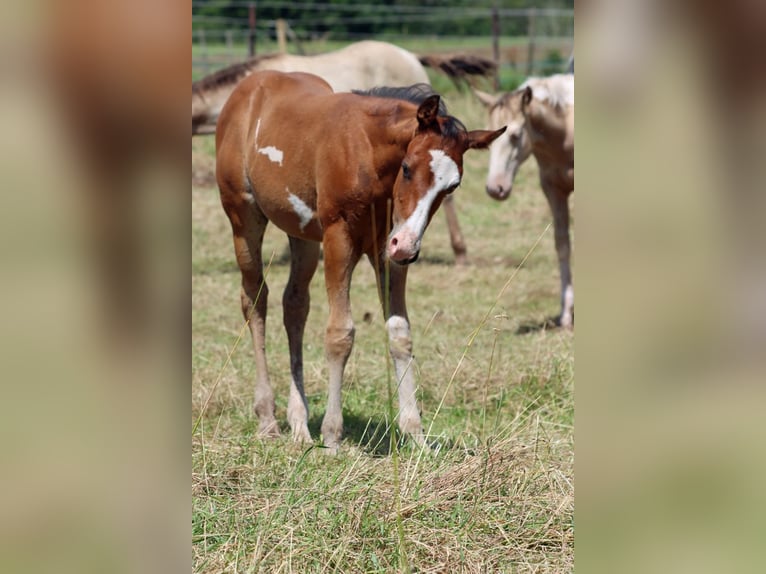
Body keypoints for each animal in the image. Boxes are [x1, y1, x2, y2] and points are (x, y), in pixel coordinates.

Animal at [215, 71, 504, 449]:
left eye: (451, 186)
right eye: (407, 168)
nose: (408, 247)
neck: (368, 155)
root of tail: (250, 85)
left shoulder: (387, 250)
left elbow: (399, 333)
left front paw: (415, 432)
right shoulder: (340, 238)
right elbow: (340, 333)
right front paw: (333, 436)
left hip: (304, 236)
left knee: (295, 305)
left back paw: (299, 424)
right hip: (243, 218)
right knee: (255, 300)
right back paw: (268, 418)